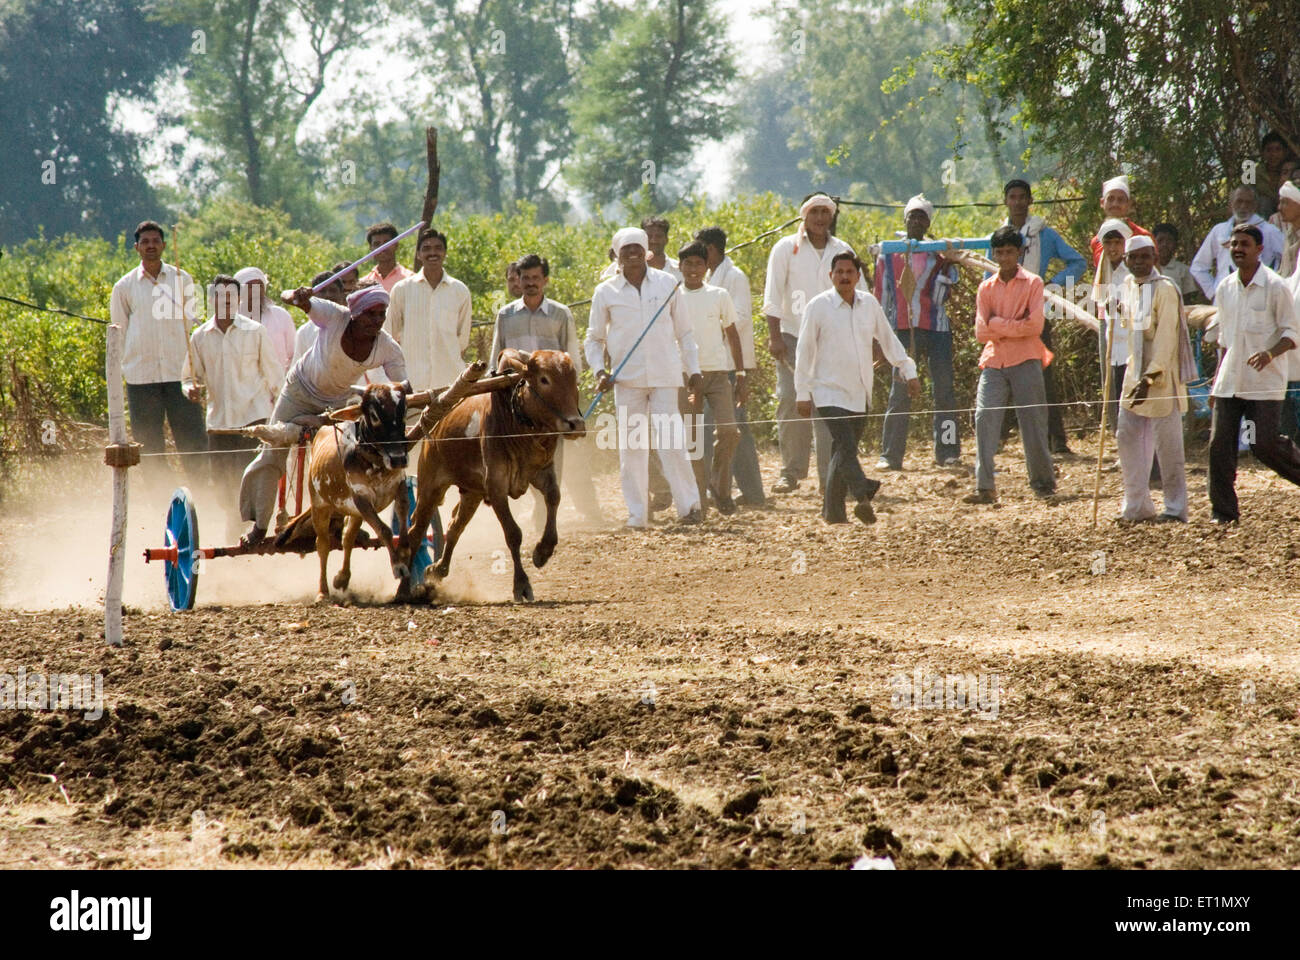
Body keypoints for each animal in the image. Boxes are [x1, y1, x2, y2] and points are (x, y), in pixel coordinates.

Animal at [405, 343, 585, 598]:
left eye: (573, 379)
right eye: (544, 379)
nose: (576, 424)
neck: (516, 421)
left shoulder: (542, 473)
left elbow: (553, 498)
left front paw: (543, 550)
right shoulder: (496, 488)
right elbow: (513, 534)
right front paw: (521, 584)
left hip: (472, 493)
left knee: (454, 527)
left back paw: (438, 569)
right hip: (429, 487)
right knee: (415, 532)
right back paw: (404, 586)